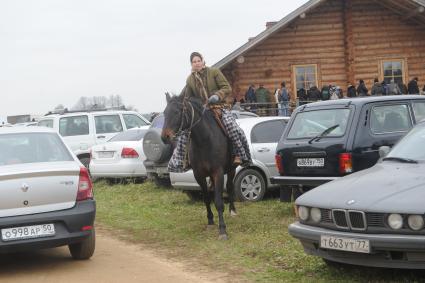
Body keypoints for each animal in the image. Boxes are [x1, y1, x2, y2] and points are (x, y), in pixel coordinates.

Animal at [161, 93, 237, 240]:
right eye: (165, 113)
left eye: (177, 112)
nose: (164, 137)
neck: (204, 140)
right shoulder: (199, 175)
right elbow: (206, 198)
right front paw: (210, 221)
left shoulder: (218, 172)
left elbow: (218, 201)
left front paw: (222, 230)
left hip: (232, 170)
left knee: (230, 187)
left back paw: (233, 211)